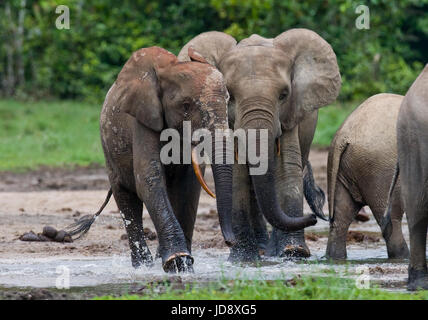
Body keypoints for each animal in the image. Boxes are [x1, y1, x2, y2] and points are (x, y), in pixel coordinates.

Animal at [178, 28, 342, 262]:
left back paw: (272, 251)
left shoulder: (290, 116)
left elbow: (287, 167)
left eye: (284, 95)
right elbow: (237, 172)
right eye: (229, 96)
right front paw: (242, 260)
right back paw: (262, 250)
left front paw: (294, 253)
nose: (313, 218)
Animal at [326, 92, 410, 260]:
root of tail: (343, 135)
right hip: (380, 168)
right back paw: (403, 257)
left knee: (340, 219)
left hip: (343, 167)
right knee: (392, 218)